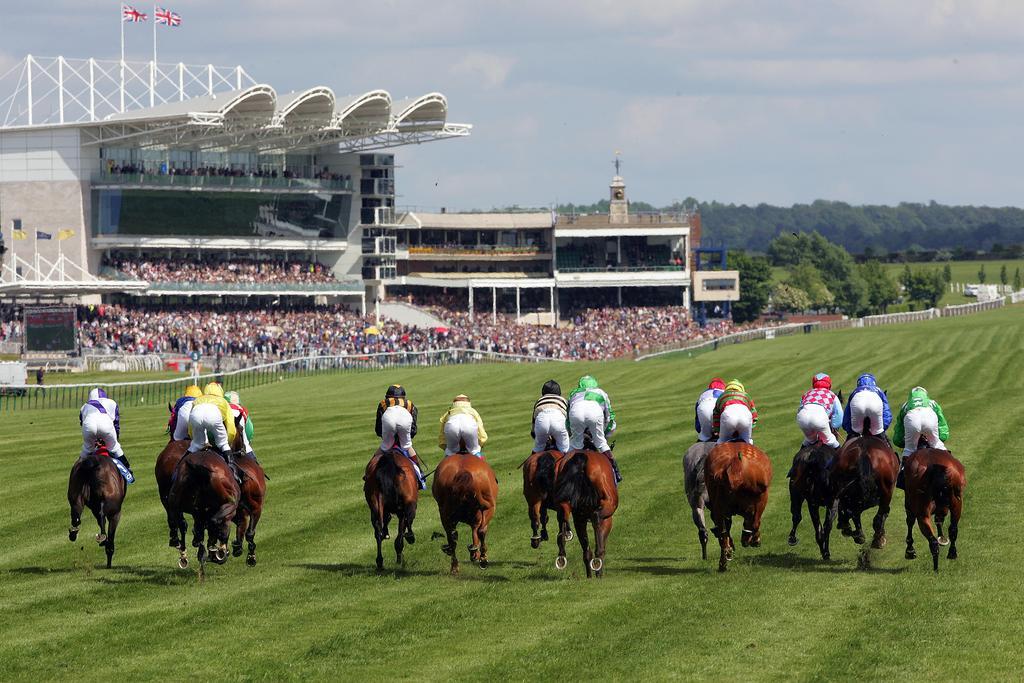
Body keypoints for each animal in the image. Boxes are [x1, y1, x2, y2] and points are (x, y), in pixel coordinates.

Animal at [552, 450, 614, 581]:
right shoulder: (607, 519)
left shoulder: (579, 517)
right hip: (606, 506)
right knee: (596, 519)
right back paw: (598, 564)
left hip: (567, 508)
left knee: (563, 522)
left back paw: (562, 555)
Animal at [708, 444, 770, 573]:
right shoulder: (760, 500)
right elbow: (754, 522)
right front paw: (754, 539)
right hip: (762, 497)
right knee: (754, 522)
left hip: (718, 508)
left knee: (722, 534)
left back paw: (724, 560)